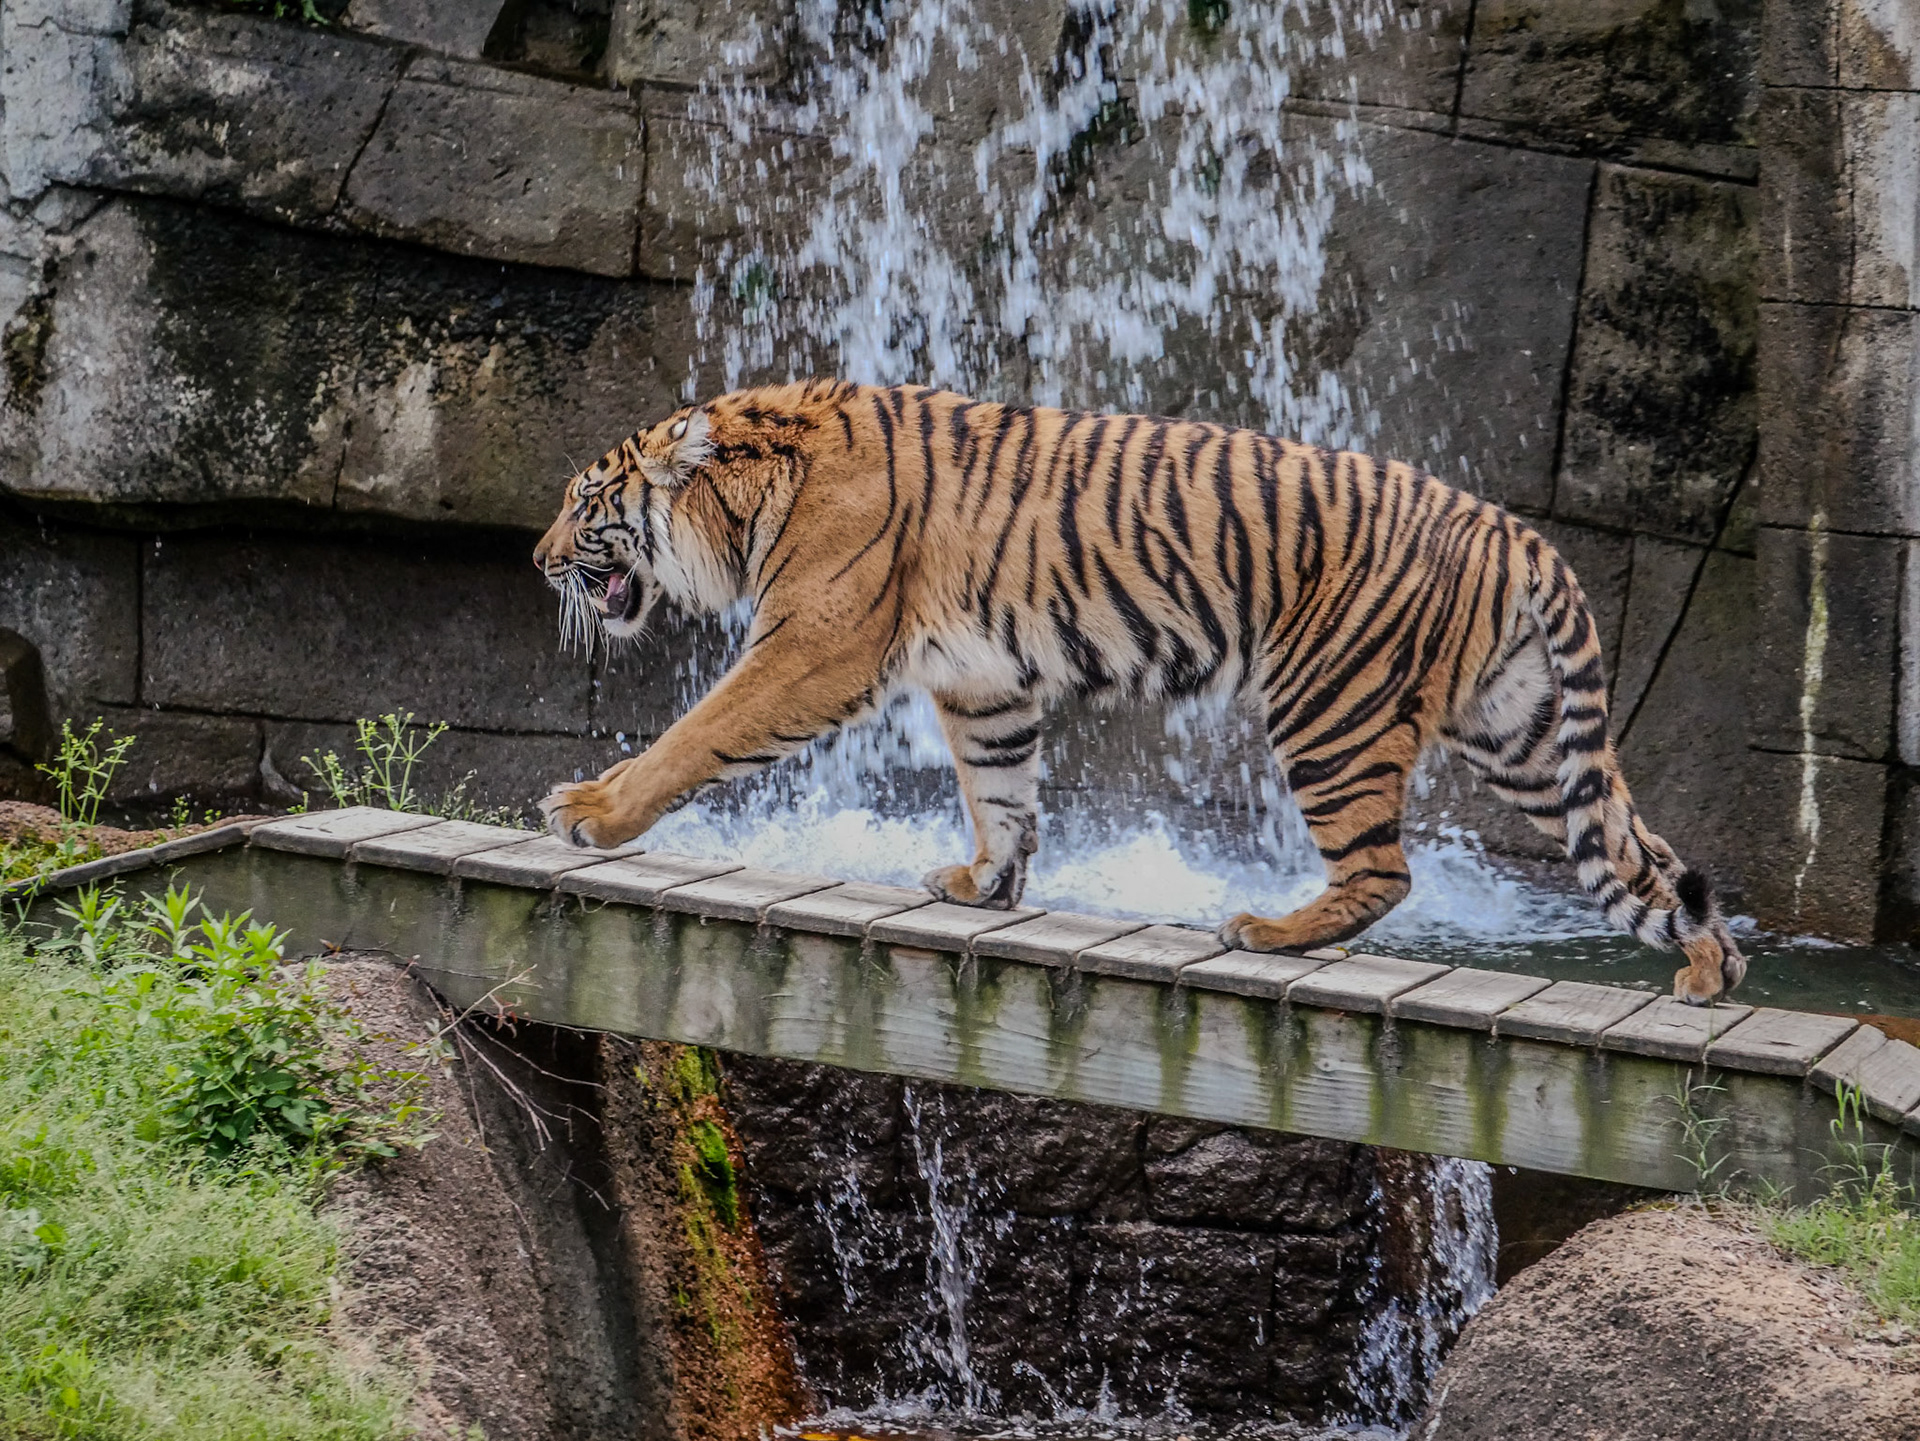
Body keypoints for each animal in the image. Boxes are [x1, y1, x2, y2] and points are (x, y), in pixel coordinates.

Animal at [533, 379, 1746, 1004]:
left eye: (587, 502)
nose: (540, 562)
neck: (757, 484)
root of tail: (1513, 529)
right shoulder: (982, 675)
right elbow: (1001, 787)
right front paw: (982, 882)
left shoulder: (814, 646)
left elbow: (698, 731)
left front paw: (589, 808)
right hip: (1523, 732)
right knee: (1632, 853)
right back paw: (1709, 963)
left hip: (1330, 709)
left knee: (1386, 869)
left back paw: (1266, 927)